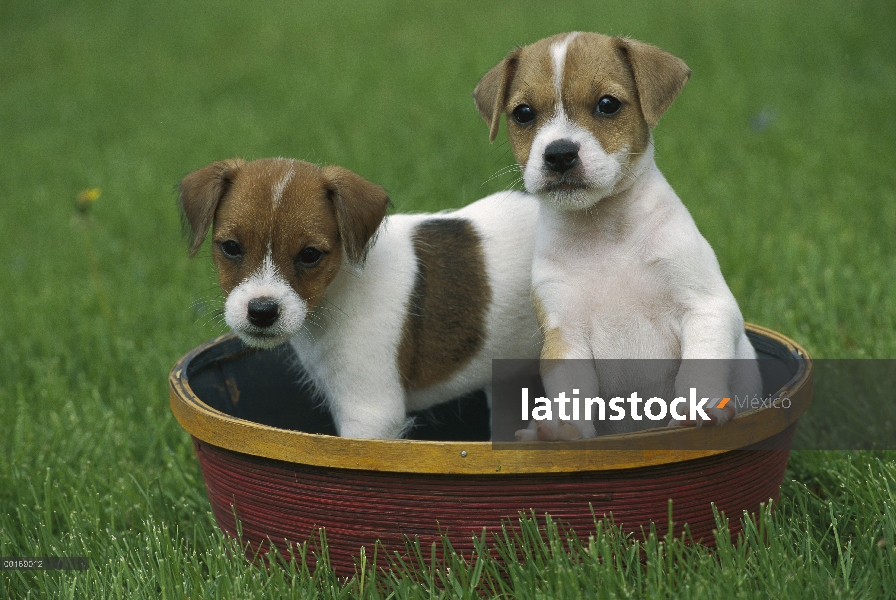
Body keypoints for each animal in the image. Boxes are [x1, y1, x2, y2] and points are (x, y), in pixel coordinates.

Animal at [472, 31, 760, 440]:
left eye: (607, 104)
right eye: (523, 113)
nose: (559, 154)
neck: (605, 233)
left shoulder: (706, 306)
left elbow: (699, 365)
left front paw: (694, 410)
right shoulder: (566, 336)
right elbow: (570, 391)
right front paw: (564, 429)